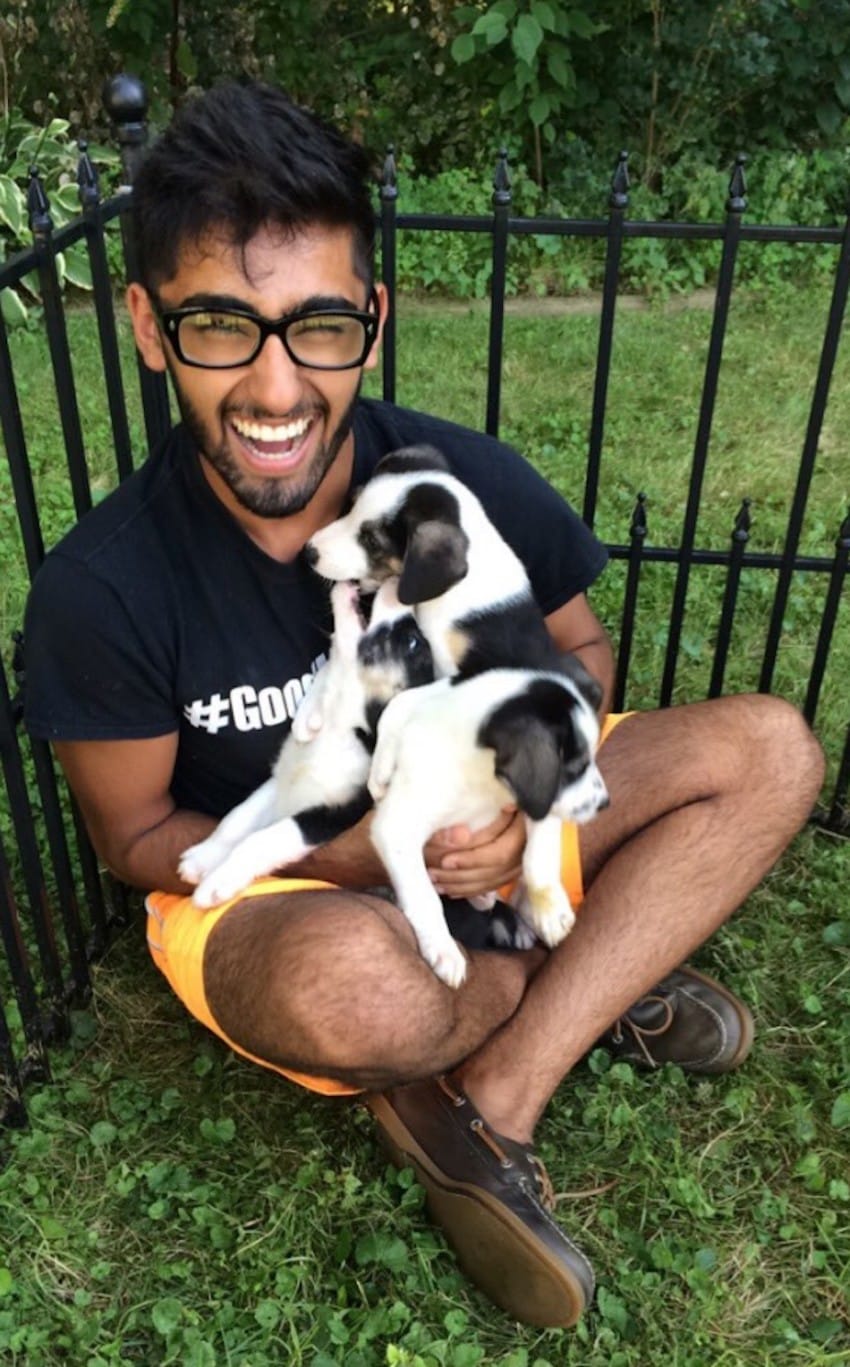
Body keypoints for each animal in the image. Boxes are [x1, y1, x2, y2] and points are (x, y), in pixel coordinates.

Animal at [177, 576, 431, 907]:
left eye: (412, 642)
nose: (394, 583)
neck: (340, 722)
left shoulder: (333, 813)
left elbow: (264, 838)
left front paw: (219, 881)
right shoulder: (279, 783)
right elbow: (236, 819)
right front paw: (203, 857)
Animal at [368, 658, 609, 984]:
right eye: (576, 767)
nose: (604, 804)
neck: (483, 781)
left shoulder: (538, 798)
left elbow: (539, 857)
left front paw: (550, 910)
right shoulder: (396, 828)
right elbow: (424, 896)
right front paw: (442, 947)